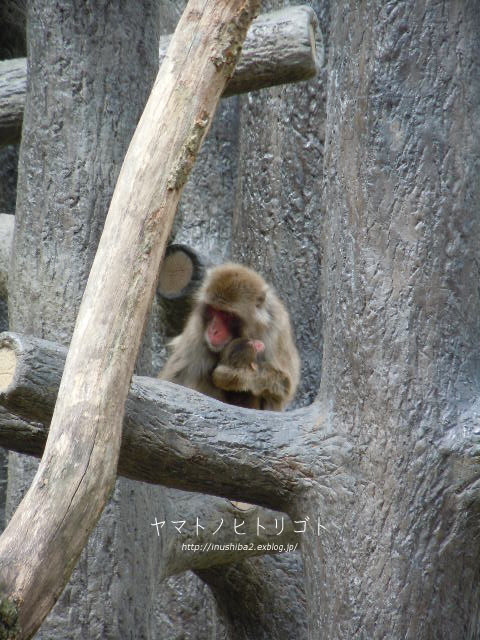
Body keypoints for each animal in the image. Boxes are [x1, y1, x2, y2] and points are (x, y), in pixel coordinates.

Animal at [159, 264, 298, 410]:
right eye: (213, 309)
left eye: (226, 314)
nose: (213, 330)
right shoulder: (196, 333)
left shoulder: (277, 329)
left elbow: (284, 385)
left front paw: (235, 376)